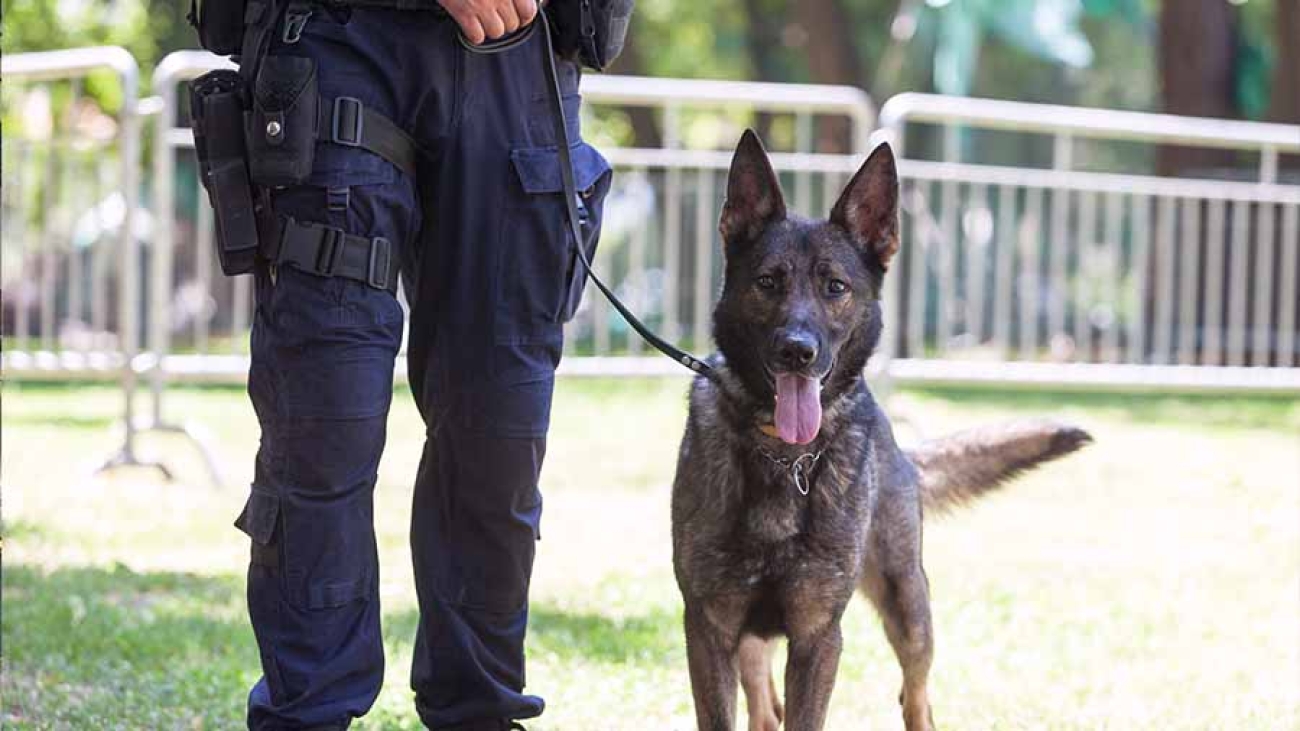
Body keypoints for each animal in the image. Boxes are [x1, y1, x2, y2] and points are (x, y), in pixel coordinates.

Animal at [670, 132, 1086, 728]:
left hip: (909, 608)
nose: (797, 351)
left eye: (835, 286)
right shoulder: (710, 630)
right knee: (763, 705)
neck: (783, 456)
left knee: (916, 696)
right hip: (755, 641)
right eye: (767, 282)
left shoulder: (818, 637)